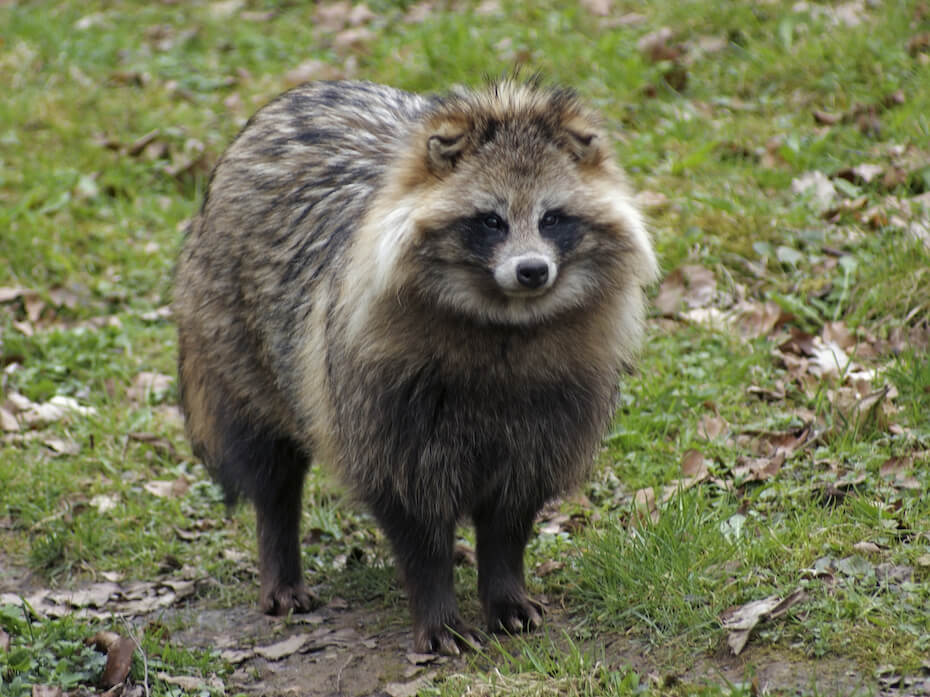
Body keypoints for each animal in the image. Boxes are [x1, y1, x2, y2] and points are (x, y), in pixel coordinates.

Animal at [174, 79, 658, 654]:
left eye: (552, 218)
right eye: (491, 221)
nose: (533, 271)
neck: (505, 321)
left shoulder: (556, 405)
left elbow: (510, 514)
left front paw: (504, 588)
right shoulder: (381, 398)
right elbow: (412, 512)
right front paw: (437, 607)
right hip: (235, 340)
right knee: (270, 466)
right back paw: (280, 553)